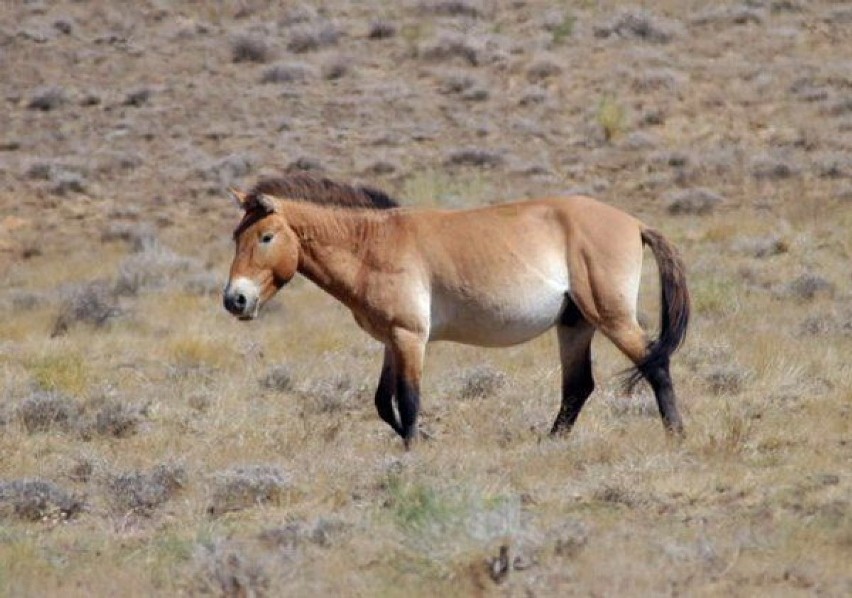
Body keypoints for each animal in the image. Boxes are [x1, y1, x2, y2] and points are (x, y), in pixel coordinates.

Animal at [223, 173, 688, 450]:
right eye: (235, 236)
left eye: (266, 237)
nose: (235, 300)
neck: (372, 244)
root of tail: (635, 223)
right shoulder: (392, 339)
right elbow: (383, 402)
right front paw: (423, 441)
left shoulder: (410, 335)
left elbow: (408, 400)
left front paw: (414, 453)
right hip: (575, 324)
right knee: (578, 387)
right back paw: (551, 443)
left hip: (611, 317)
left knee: (654, 364)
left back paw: (676, 436)